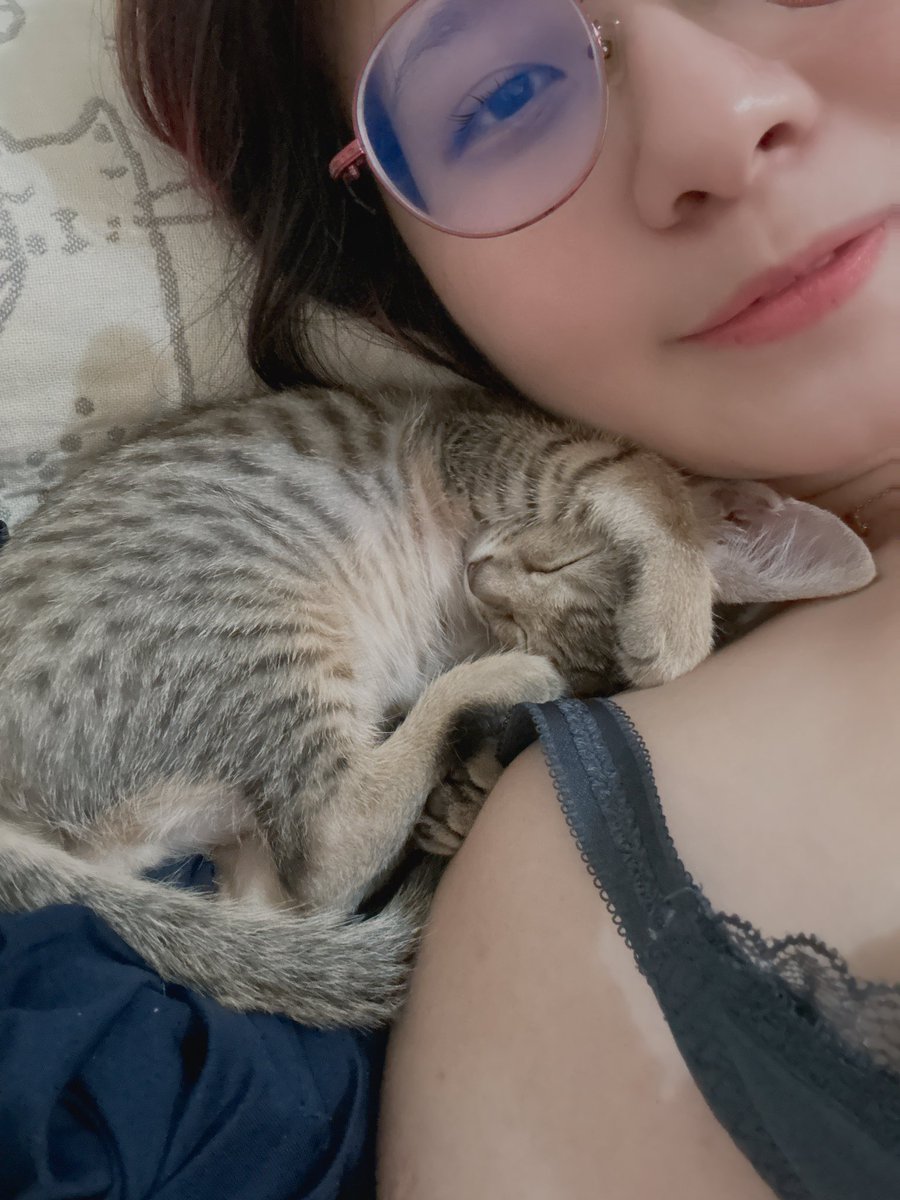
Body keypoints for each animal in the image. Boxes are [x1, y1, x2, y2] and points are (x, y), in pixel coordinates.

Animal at [0, 384, 874, 1028]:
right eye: (563, 558)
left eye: (541, 582)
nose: (485, 576)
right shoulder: (490, 436)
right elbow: (640, 477)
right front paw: (679, 615)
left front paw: (476, 777)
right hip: (256, 624)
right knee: (332, 842)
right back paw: (504, 686)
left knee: (296, 891)